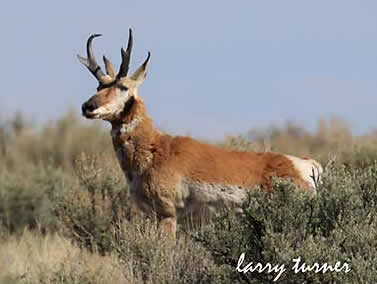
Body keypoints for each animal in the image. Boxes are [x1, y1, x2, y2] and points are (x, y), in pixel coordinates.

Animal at [78, 29, 322, 237]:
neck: (156, 147)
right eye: (99, 86)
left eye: (123, 87)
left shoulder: (167, 215)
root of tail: (305, 164)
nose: (87, 106)